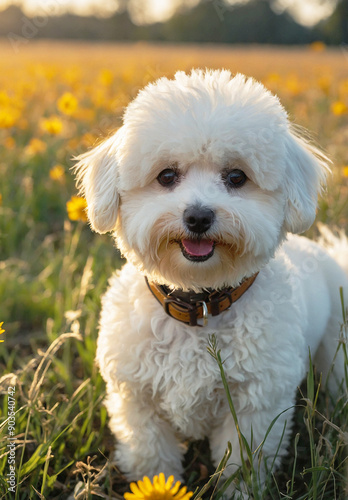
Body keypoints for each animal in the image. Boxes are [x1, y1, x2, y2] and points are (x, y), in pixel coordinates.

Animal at [74, 69, 348, 492]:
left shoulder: (255, 409)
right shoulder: (138, 402)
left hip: (336, 351)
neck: (198, 303)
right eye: (166, 175)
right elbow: (153, 458)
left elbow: (242, 467)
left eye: (236, 177)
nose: (199, 216)